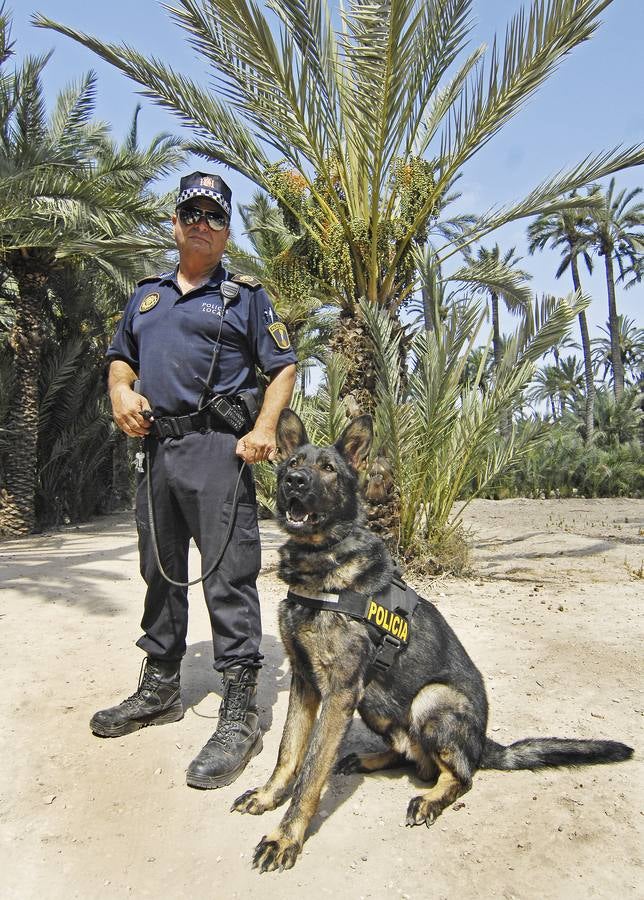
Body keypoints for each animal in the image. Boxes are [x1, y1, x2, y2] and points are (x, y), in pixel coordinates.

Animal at [233, 414, 632, 872]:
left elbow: (312, 771)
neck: (323, 563)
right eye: (293, 462)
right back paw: (371, 758)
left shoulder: (339, 692)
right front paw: (267, 797)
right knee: (414, 756)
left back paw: (430, 799)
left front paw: (285, 837)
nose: (293, 481)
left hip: (430, 699)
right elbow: (287, 754)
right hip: (374, 703)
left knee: (458, 775)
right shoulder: (305, 682)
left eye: (328, 468)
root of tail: (482, 744)